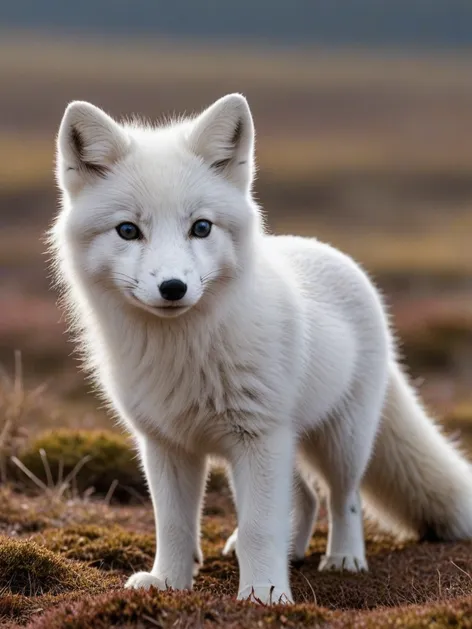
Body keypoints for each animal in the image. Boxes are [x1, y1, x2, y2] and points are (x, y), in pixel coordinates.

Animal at [50, 92, 472, 604]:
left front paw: (265, 596)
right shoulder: (166, 444)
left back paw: (344, 558)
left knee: (342, 497)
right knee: (305, 497)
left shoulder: (259, 436)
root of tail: (327, 249)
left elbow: (259, 528)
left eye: (201, 228)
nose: (173, 287)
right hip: (276, 447)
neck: (184, 353)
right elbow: (173, 525)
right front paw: (169, 582)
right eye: (128, 231)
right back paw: (294, 551)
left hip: (341, 440)